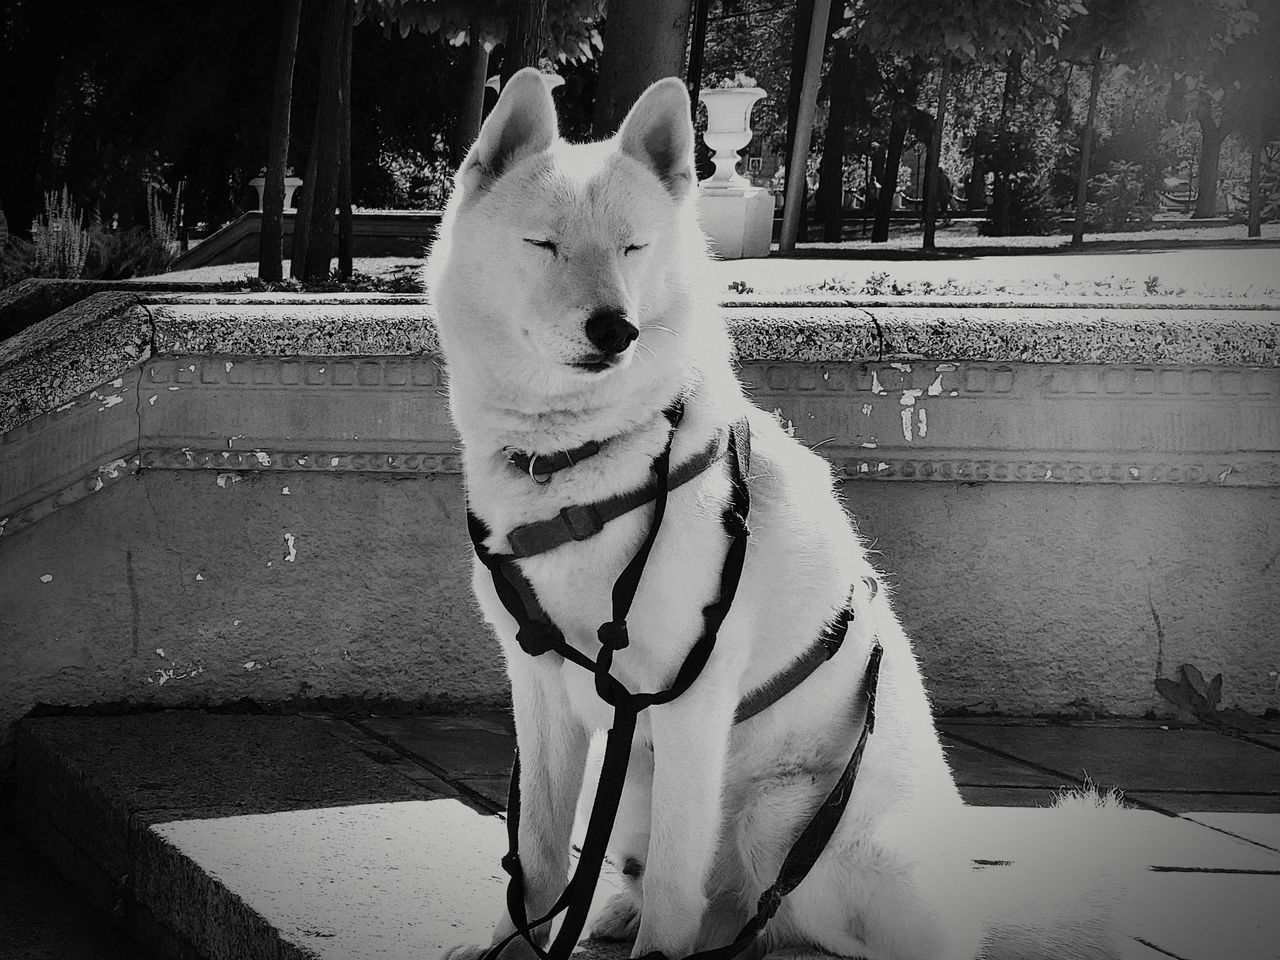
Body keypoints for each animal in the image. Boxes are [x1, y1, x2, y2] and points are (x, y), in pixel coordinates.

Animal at [427, 67, 1121, 960]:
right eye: (543, 244)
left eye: (634, 248)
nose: (616, 328)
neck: (581, 459)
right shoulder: (542, 690)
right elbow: (539, 855)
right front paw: (511, 940)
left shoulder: (686, 703)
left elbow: (676, 879)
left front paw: (653, 951)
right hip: (646, 790)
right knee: (696, 894)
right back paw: (624, 911)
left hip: (780, 818)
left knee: (791, 917)